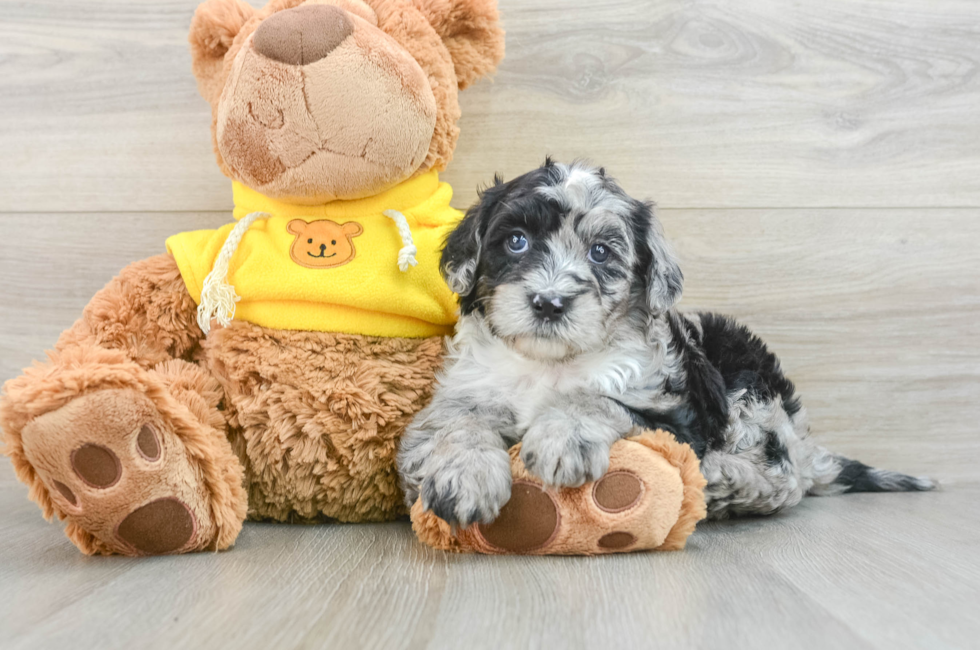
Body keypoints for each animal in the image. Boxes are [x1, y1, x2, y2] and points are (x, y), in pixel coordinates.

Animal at [396, 158, 936, 528]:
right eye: (516, 241)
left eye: (601, 252)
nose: (549, 303)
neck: (553, 363)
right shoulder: (465, 391)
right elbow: (458, 423)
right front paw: (463, 475)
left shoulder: (677, 417)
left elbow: (597, 399)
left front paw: (562, 438)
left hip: (745, 375)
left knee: (786, 479)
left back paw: (724, 482)